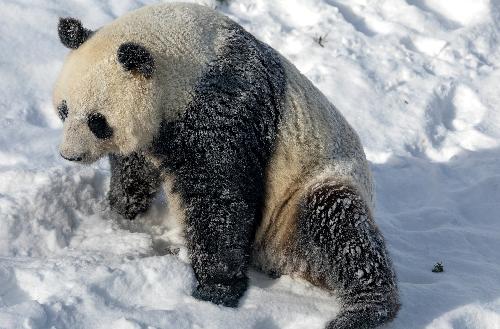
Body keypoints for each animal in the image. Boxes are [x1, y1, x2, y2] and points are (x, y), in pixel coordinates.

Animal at [52, 3, 400, 328]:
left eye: (97, 120)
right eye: (64, 110)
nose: (70, 155)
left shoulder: (222, 105)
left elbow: (220, 196)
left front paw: (214, 292)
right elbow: (135, 168)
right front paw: (121, 210)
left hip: (306, 189)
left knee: (341, 228)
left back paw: (364, 310)